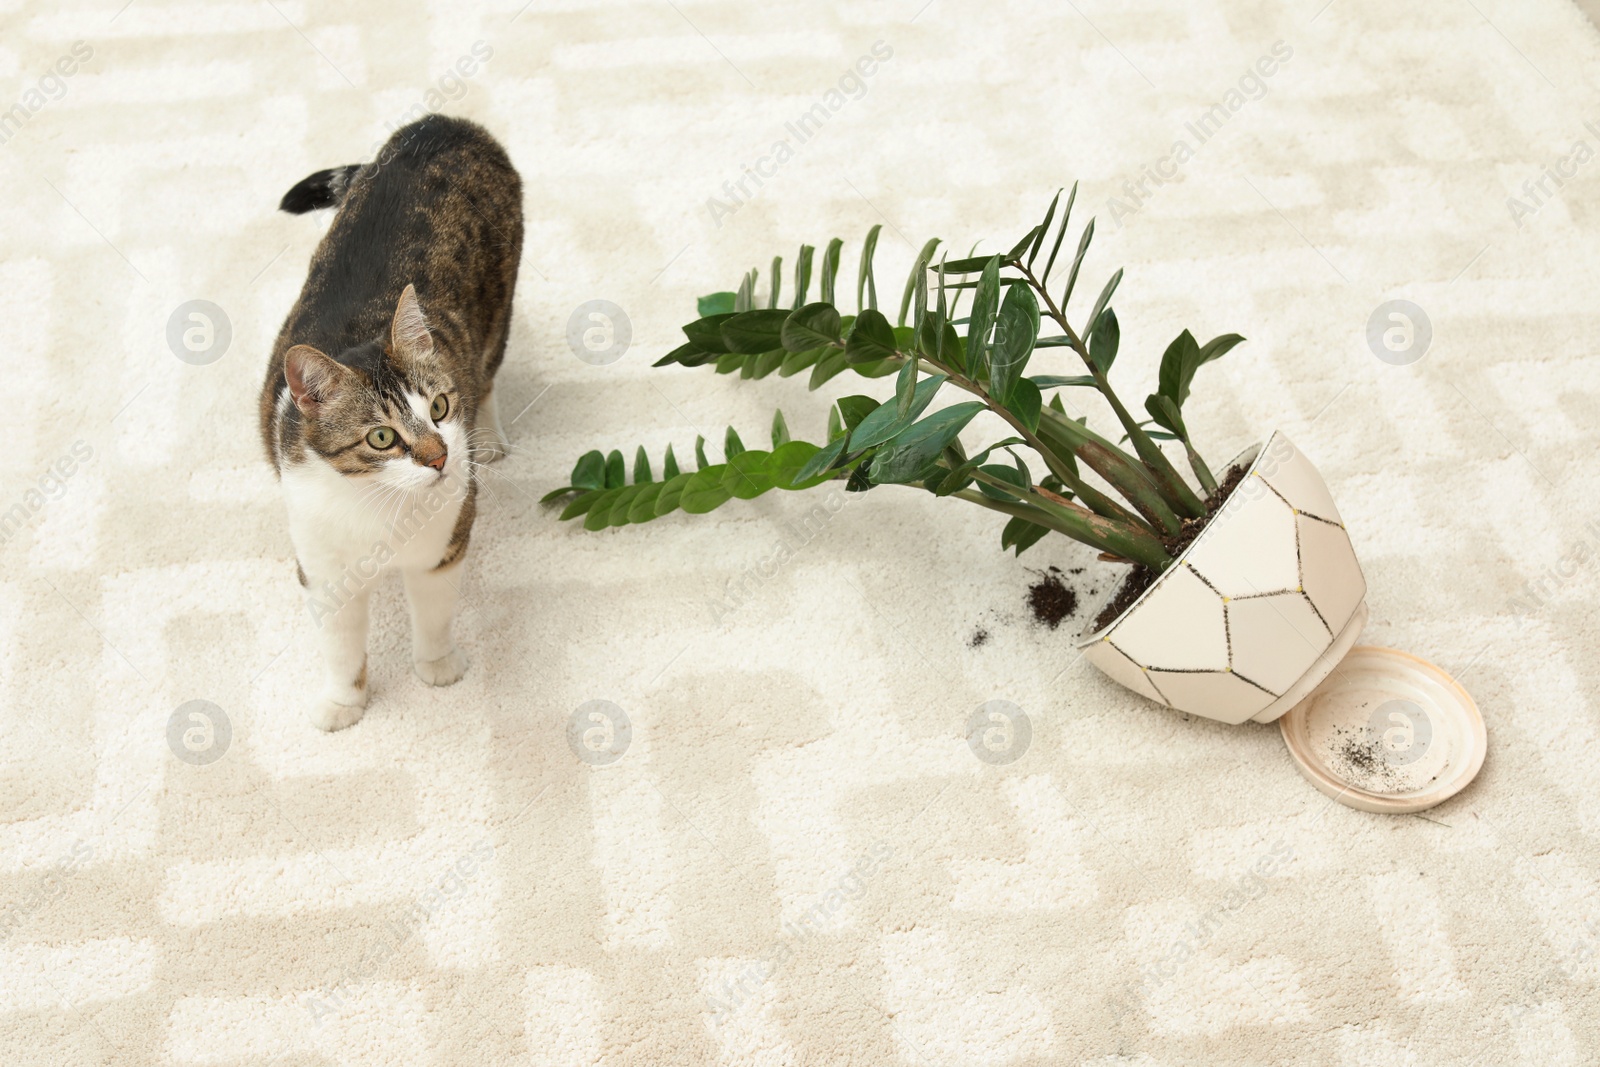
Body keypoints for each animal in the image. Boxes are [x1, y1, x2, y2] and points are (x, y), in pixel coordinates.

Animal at [260, 116, 524, 735]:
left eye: (441, 408)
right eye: (381, 437)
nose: (440, 457)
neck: (376, 507)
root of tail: (440, 124)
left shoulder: (443, 544)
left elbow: (432, 614)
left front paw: (437, 666)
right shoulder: (322, 563)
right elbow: (340, 645)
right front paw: (343, 702)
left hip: (501, 300)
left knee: (490, 371)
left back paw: (490, 437)